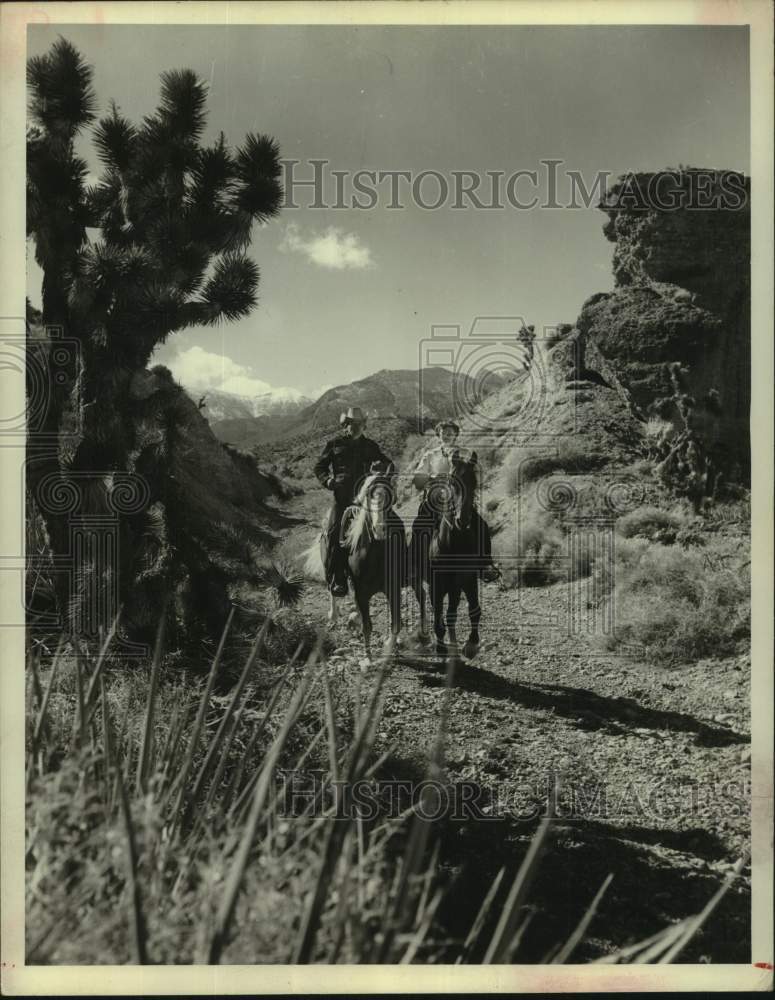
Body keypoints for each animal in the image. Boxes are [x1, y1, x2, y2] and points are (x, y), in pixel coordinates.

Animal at [306, 474, 410, 664]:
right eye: (369, 496)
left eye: (390, 496)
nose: (380, 529)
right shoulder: (362, 592)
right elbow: (367, 626)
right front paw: (368, 657)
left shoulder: (392, 590)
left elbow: (396, 622)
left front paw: (388, 648)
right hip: (329, 569)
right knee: (331, 590)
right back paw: (333, 615)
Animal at [410, 456, 482, 664]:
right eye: (452, 481)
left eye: (474, 481)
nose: (462, 520)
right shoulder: (437, 583)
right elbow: (438, 614)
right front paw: (441, 648)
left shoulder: (468, 579)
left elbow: (474, 609)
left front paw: (471, 645)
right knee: (426, 602)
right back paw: (428, 637)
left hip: (454, 587)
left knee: (451, 613)